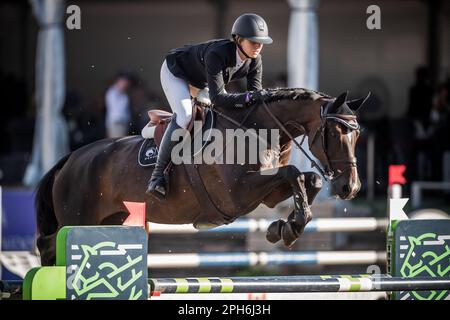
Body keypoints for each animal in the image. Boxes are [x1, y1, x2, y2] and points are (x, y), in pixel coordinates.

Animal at [36, 87, 370, 264]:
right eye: (335, 132)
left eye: (357, 135)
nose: (350, 187)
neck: (258, 131)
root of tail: (69, 159)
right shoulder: (239, 194)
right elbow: (292, 172)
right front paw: (288, 228)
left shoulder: (267, 194)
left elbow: (307, 179)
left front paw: (285, 227)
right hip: (77, 218)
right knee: (51, 248)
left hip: (111, 221)